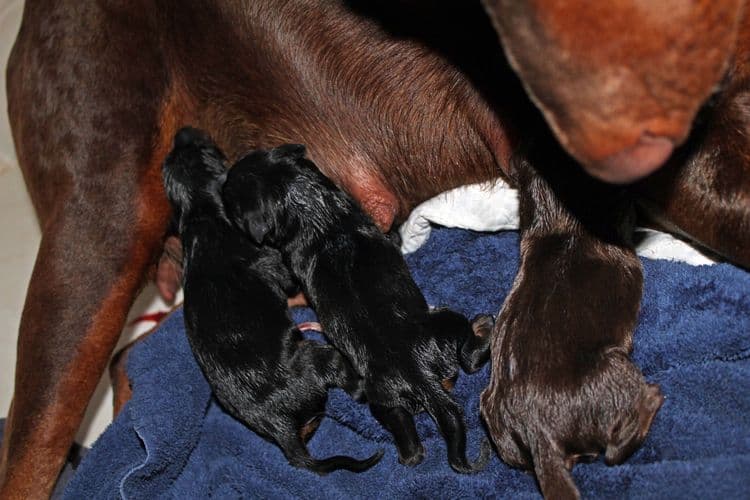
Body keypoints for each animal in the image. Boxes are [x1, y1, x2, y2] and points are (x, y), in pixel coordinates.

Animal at [166, 127, 388, 474]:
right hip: (319, 357)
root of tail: (280, 426)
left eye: (177, 155)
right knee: (349, 383)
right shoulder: (273, 263)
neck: (200, 211)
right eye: (210, 149)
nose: (184, 131)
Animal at [220, 145, 496, 472]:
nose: (221, 183)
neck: (313, 209)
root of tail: (420, 376)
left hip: (386, 393)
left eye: (230, 198)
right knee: (465, 358)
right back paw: (483, 326)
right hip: (424, 349)